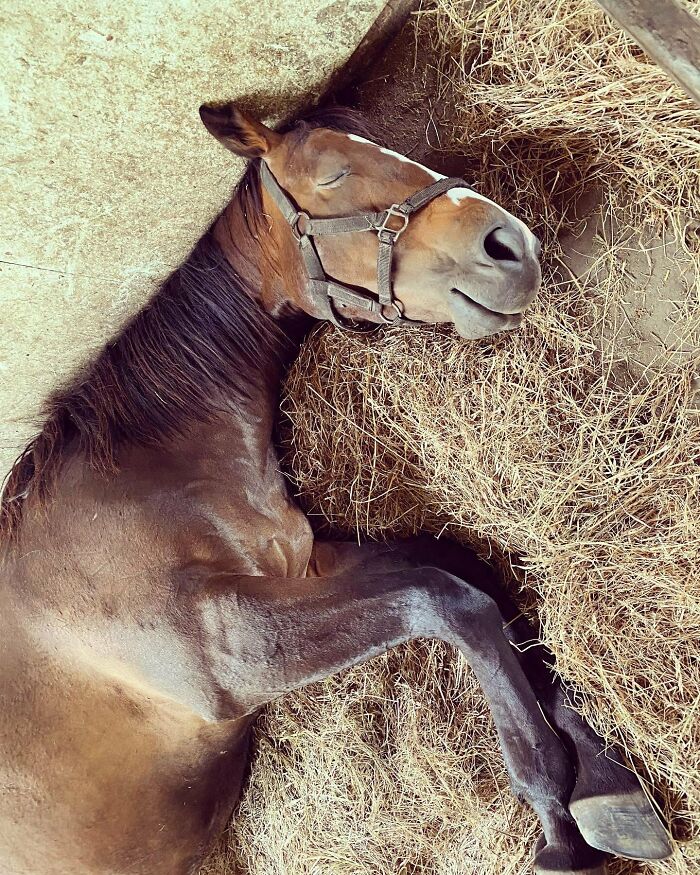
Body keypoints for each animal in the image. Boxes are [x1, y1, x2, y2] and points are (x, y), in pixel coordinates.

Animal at [0, 103, 672, 875]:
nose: (510, 243)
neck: (144, 480)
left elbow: (465, 570)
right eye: (333, 175)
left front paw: (606, 781)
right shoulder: (229, 654)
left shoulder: (303, 563)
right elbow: (447, 599)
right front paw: (557, 813)